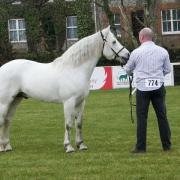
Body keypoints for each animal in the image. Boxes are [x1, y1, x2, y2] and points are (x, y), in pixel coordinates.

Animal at [0, 26, 129, 153]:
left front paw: (81, 145)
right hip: (4, 102)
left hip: (15, 100)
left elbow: (79, 124)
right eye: (114, 41)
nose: (127, 55)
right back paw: (2, 148)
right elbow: (68, 124)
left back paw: (7, 146)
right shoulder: (68, 102)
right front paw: (68, 147)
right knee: (2, 121)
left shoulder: (81, 102)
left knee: (7, 121)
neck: (74, 69)